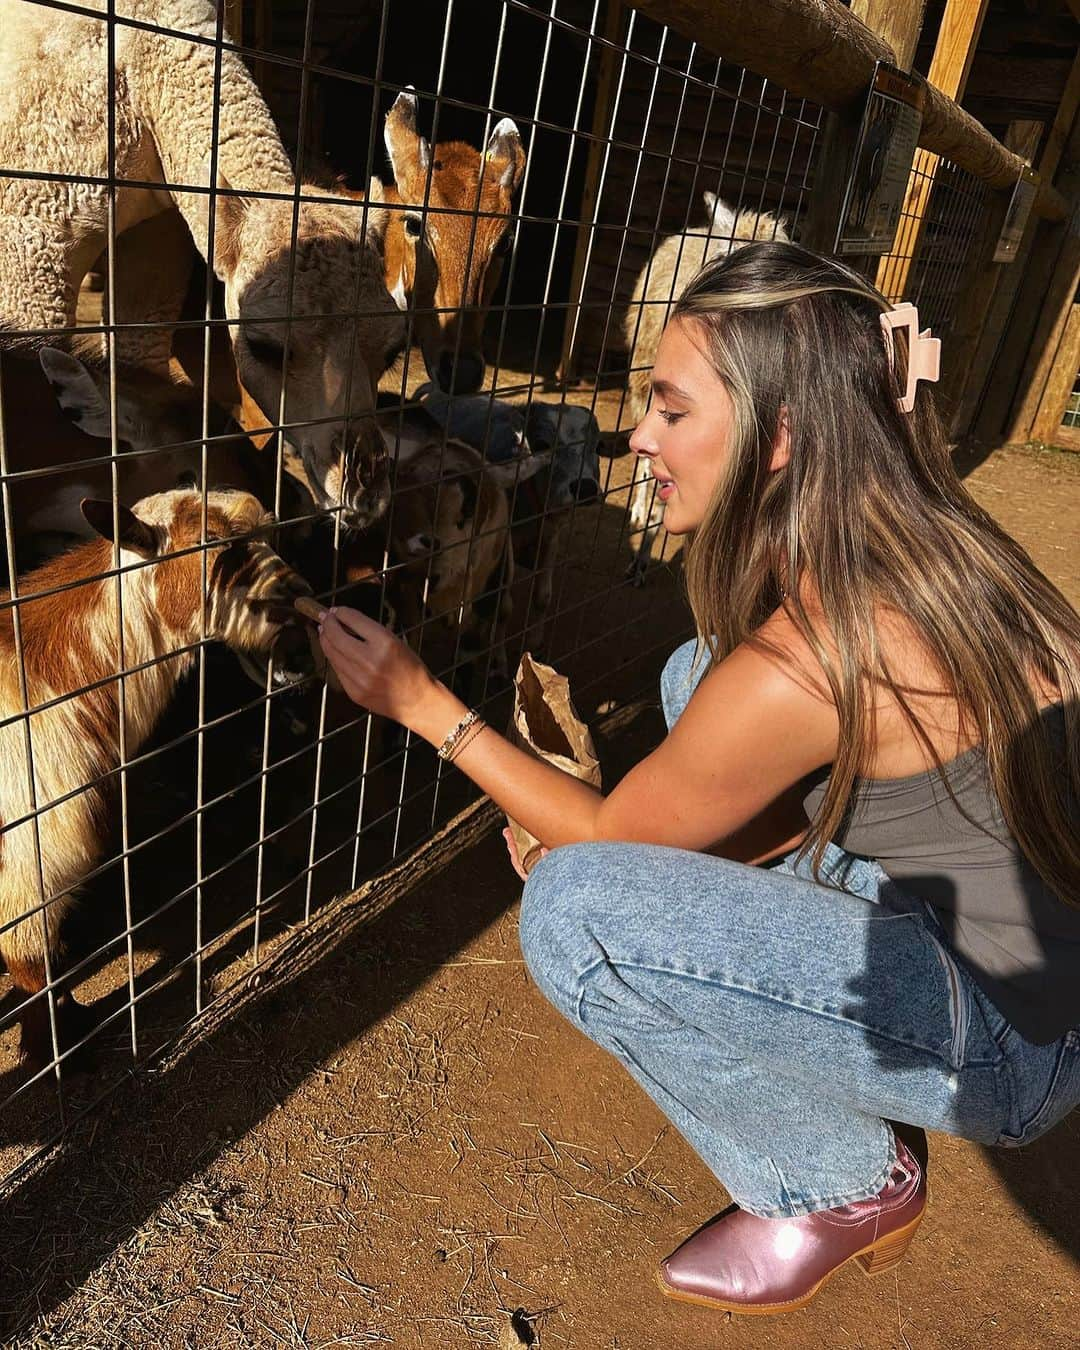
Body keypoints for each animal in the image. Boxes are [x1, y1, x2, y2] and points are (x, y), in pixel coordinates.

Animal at [1, 486, 315, 1063]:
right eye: (216, 547)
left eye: (271, 533)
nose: (300, 641)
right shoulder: (32, 860)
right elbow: (34, 964)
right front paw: (55, 1050)